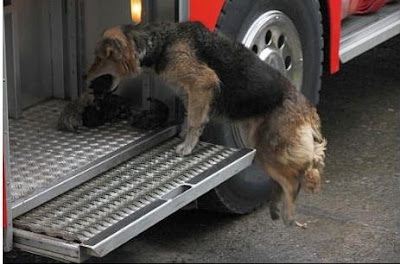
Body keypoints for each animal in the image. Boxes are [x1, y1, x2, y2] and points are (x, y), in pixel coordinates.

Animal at [57, 21, 326, 227]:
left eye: (101, 58)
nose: (83, 76)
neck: (159, 43)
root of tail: (307, 110)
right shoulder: (192, 92)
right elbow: (192, 117)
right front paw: (186, 137)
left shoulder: (202, 81)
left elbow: (195, 120)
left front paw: (186, 148)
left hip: (269, 150)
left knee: (295, 177)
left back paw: (288, 213)